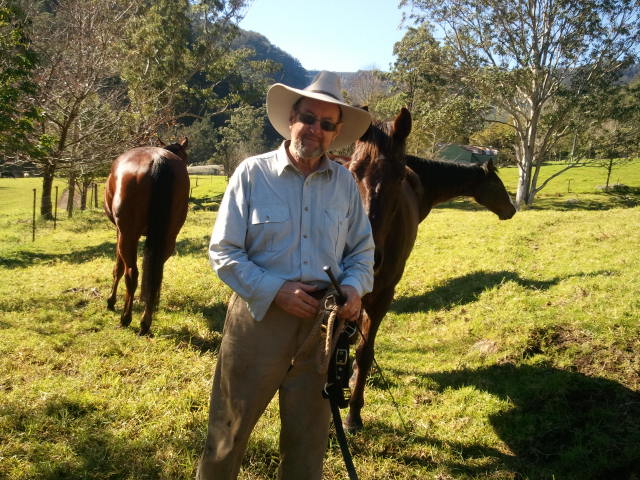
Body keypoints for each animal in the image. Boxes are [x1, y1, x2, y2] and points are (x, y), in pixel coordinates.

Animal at [104, 138, 189, 335]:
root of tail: (158, 159)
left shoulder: (120, 232)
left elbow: (118, 268)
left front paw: (111, 301)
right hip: (168, 238)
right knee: (155, 276)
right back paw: (145, 321)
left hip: (129, 235)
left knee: (131, 274)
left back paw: (126, 318)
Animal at [343, 109, 516, 431]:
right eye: (353, 171)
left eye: (399, 175)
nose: (511, 209)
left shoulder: (381, 296)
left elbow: (364, 351)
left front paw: (353, 411)